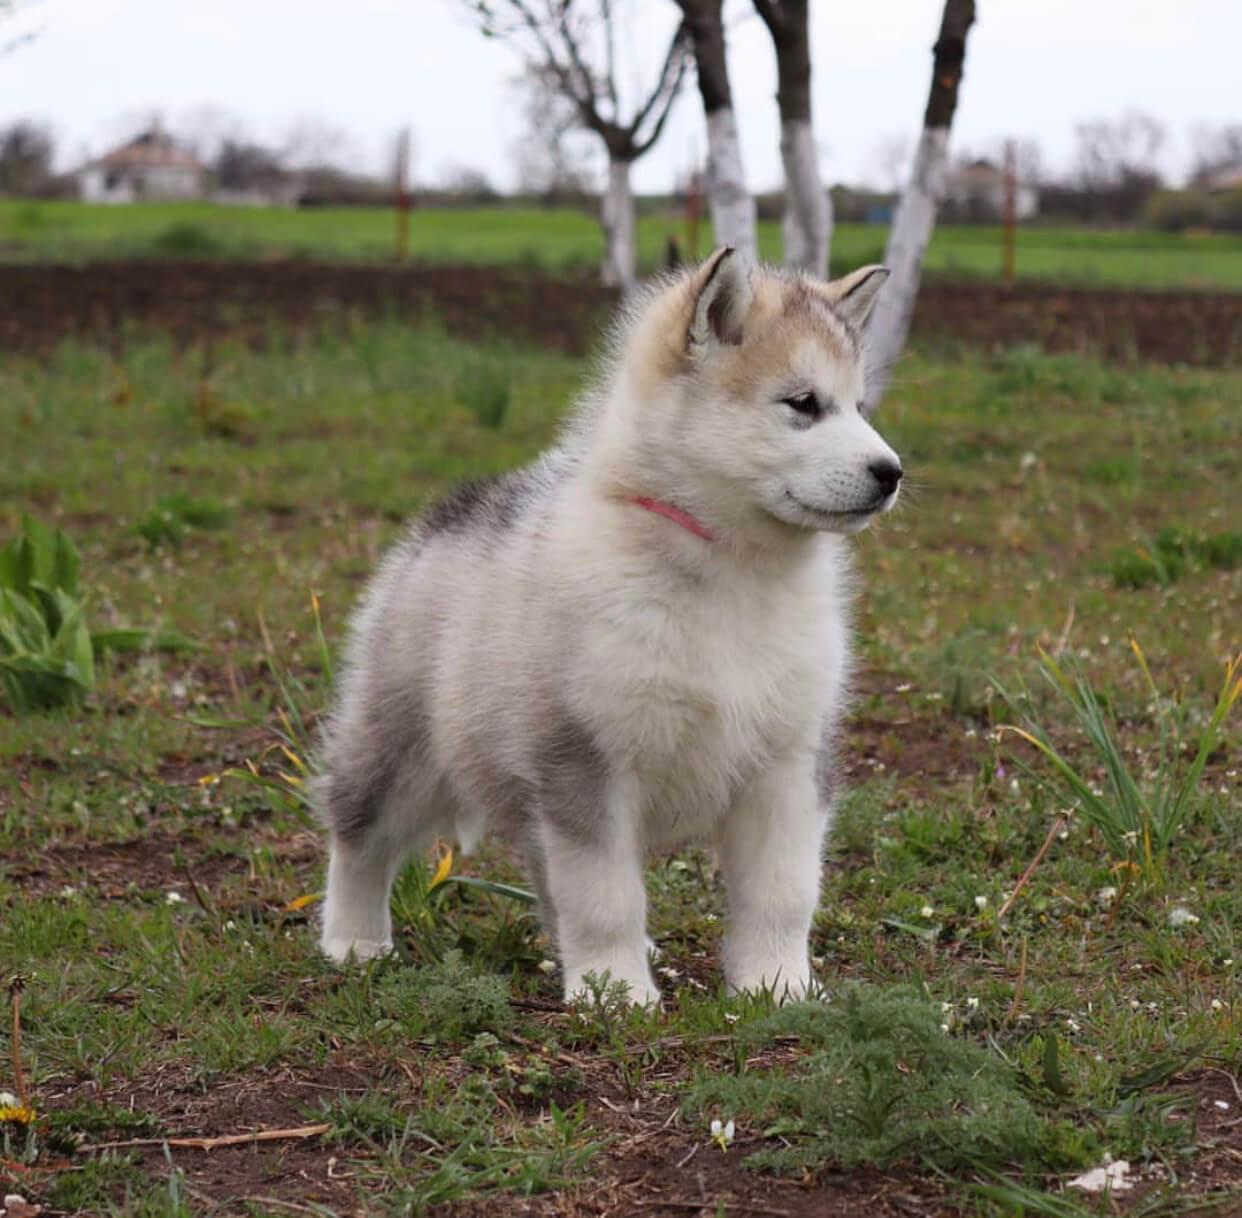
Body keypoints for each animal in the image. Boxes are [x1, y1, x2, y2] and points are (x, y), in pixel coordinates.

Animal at [317, 252, 904, 1003]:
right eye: (803, 404)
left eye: (859, 407)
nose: (891, 473)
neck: (731, 572)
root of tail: (450, 516)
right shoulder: (586, 761)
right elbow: (605, 896)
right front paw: (616, 995)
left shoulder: (789, 763)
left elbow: (782, 892)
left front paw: (778, 986)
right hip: (402, 753)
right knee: (359, 836)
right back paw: (354, 940)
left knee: (541, 865)